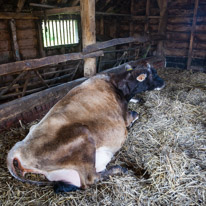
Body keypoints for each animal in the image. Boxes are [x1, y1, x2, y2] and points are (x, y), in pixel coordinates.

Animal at [6, 62, 164, 193]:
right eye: (153, 74)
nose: (163, 82)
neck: (117, 85)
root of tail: (18, 149)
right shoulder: (125, 116)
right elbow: (135, 114)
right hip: (83, 136)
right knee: (91, 178)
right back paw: (119, 169)